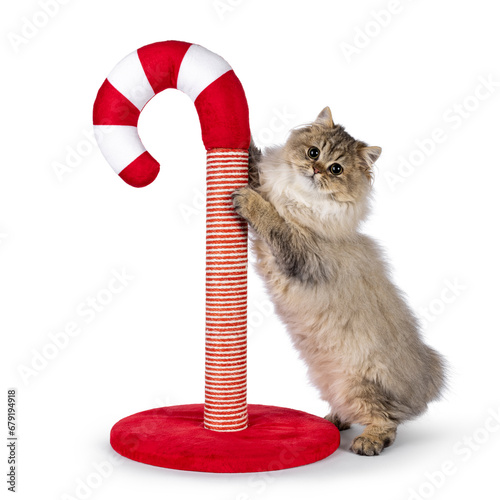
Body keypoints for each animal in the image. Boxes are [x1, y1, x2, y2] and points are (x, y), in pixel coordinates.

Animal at [232, 107, 448, 456]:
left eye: (336, 169)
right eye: (313, 152)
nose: (315, 170)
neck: (299, 200)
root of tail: (423, 385)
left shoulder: (300, 251)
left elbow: (272, 219)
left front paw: (249, 201)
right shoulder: (270, 190)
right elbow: (256, 165)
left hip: (361, 383)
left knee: (388, 421)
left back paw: (368, 442)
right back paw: (333, 420)